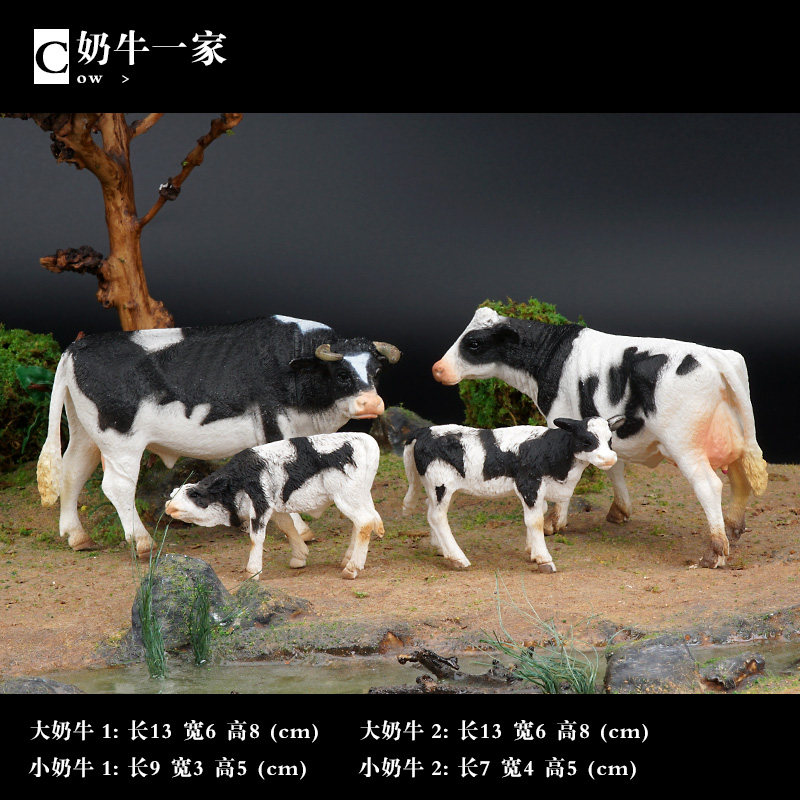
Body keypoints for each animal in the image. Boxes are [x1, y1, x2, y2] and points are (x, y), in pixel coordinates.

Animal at [37, 315, 400, 558]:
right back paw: (141, 542)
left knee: (72, 472)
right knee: (117, 486)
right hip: (119, 441)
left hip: (86, 433)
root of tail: (76, 347)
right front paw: (300, 529)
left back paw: (77, 536)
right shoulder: (274, 424)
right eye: (341, 373)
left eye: (376, 371)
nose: (371, 403)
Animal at [164, 433, 383, 579]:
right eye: (173, 494)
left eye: (194, 494)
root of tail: (365, 439)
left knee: (364, 522)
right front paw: (299, 557)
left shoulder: (260, 505)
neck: (238, 479)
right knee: (364, 522)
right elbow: (288, 528)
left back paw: (351, 569)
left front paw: (252, 572)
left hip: (346, 496)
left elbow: (256, 538)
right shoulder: (276, 509)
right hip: (358, 495)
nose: (168, 507)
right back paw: (348, 559)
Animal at [402, 416, 623, 572]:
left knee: (431, 510)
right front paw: (543, 559)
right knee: (437, 516)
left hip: (444, 487)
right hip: (440, 484)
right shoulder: (529, 484)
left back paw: (441, 549)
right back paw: (457, 558)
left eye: (610, 440)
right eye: (586, 440)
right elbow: (535, 521)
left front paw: (531, 550)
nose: (609, 459)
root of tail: (424, 430)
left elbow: (540, 513)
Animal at [432, 306, 768, 568]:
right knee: (740, 482)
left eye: (473, 343)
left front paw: (554, 522)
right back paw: (733, 531)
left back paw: (715, 552)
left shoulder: (562, 422)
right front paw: (620, 510)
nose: (437, 369)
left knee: (709, 486)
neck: (552, 355)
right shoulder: (602, 427)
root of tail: (715, 356)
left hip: (685, 446)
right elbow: (614, 466)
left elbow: (568, 477)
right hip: (733, 441)